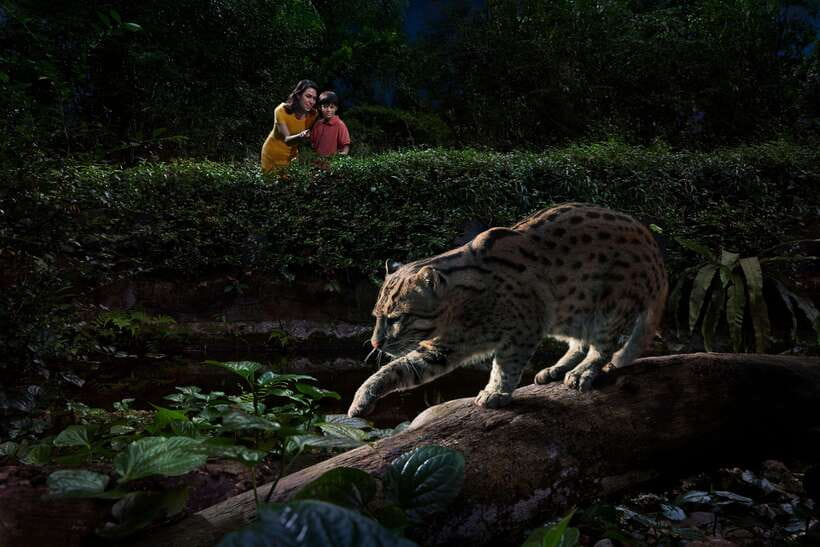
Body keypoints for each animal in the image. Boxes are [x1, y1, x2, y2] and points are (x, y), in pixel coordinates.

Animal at [347, 203, 667, 418]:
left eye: (396, 318)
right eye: (376, 318)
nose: (375, 343)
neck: (458, 313)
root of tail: (655, 253)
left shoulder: (523, 329)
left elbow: (506, 365)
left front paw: (496, 391)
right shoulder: (441, 349)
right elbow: (397, 369)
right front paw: (362, 396)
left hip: (608, 307)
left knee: (603, 347)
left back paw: (582, 371)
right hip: (569, 314)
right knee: (580, 343)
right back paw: (558, 368)